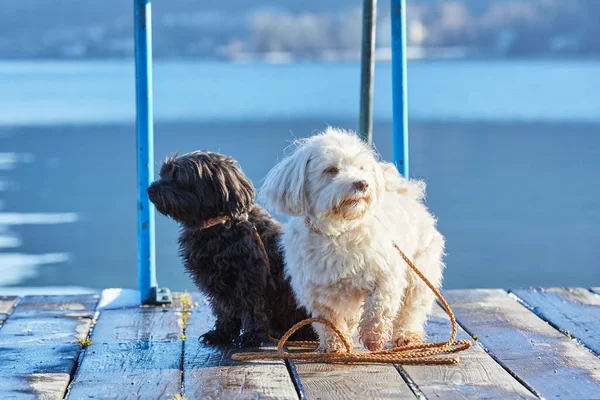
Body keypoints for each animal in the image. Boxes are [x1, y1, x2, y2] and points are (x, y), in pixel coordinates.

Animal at [146, 152, 314, 346]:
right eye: (164, 173)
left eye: (177, 176)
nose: (150, 189)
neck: (219, 225)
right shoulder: (217, 282)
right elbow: (225, 309)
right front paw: (222, 333)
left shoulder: (249, 278)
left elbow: (252, 308)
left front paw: (251, 336)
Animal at [260, 128, 442, 354]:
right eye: (331, 170)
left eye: (361, 168)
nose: (362, 183)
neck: (338, 230)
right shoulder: (316, 291)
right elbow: (329, 321)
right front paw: (335, 344)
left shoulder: (386, 274)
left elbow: (378, 308)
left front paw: (373, 337)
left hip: (419, 271)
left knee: (411, 308)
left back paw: (407, 335)